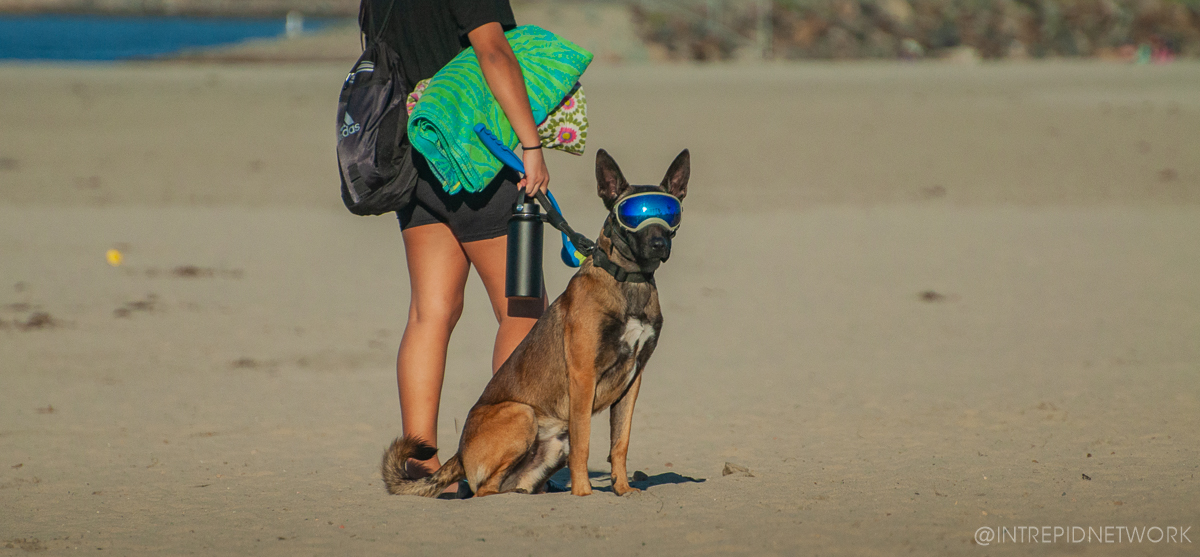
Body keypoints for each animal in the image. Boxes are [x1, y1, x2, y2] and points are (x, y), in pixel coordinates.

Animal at [379, 147, 691, 496]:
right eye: (633, 216)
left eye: (670, 214)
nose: (659, 244)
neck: (628, 279)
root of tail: (458, 454)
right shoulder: (583, 377)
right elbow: (584, 443)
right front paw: (583, 493)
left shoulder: (632, 382)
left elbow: (620, 443)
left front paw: (622, 489)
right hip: (522, 413)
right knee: (483, 490)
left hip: (552, 446)